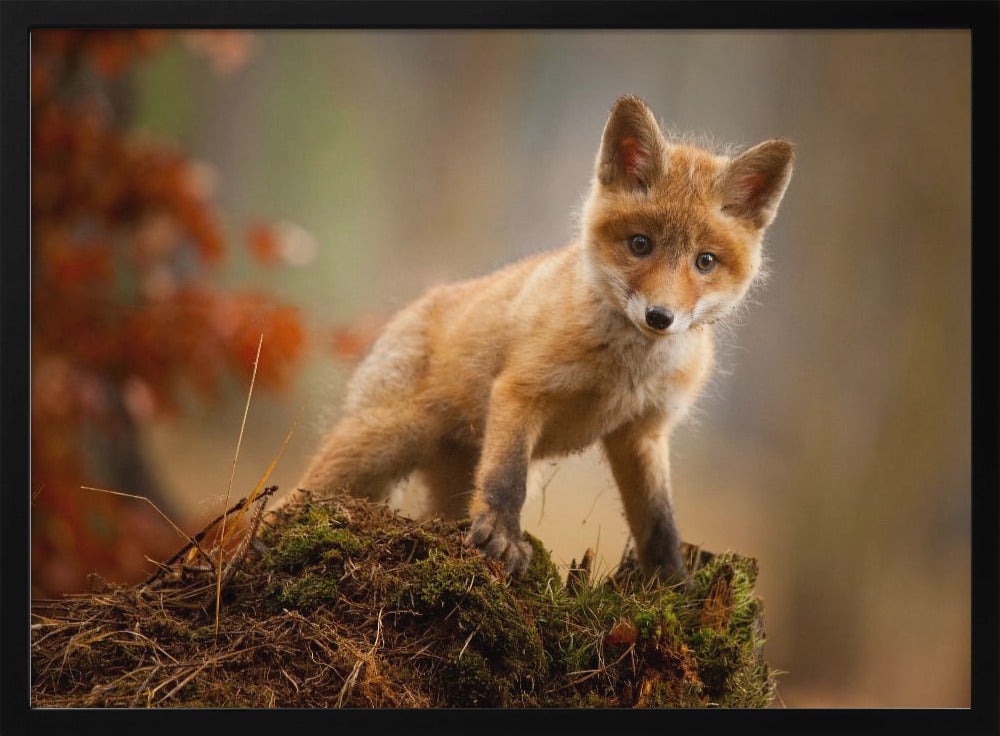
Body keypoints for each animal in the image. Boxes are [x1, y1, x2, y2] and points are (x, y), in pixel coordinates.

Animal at [285, 95, 794, 583]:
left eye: (705, 261)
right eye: (640, 244)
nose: (659, 316)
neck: (625, 371)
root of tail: (416, 305)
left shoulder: (642, 432)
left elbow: (659, 523)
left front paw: (674, 586)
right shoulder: (522, 391)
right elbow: (508, 479)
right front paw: (502, 538)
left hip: (446, 480)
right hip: (378, 444)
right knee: (289, 499)